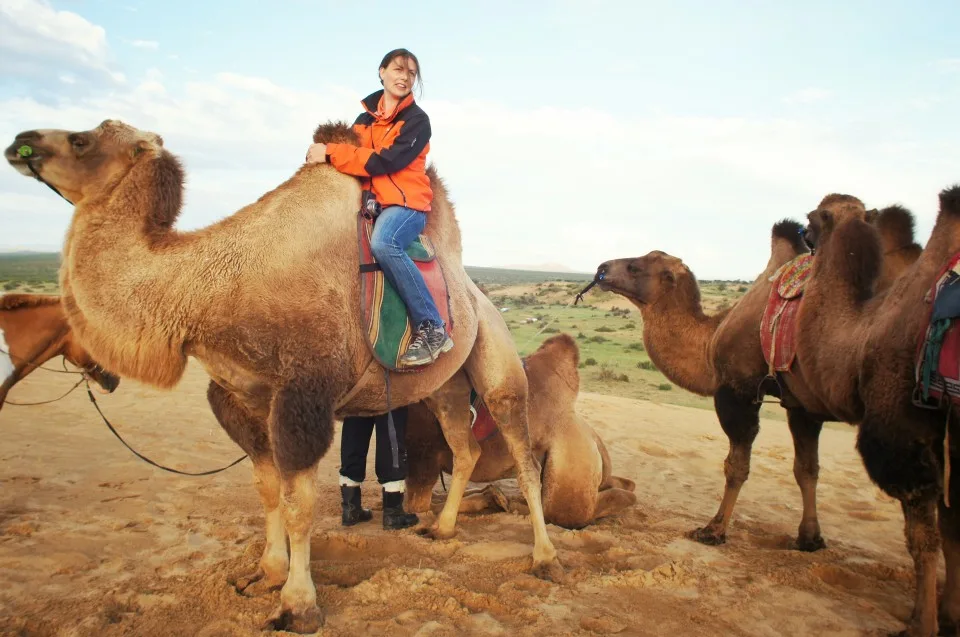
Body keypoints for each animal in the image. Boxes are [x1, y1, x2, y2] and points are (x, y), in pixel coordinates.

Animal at [4, 119, 560, 632]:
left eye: (81, 140)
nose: (19, 141)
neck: (211, 291)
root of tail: (477, 294)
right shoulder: (241, 397)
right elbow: (267, 487)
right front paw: (267, 572)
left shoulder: (302, 397)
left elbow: (299, 503)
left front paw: (299, 604)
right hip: (444, 385)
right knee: (464, 447)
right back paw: (442, 530)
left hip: (495, 356)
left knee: (521, 450)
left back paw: (546, 558)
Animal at [404, 333, 638, 529]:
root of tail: (593, 439)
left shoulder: (423, 456)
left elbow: (419, 506)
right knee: (624, 486)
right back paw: (497, 498)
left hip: (571, 471)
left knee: (568, 513)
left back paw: (499, 500)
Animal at [581, 202, 922, 553]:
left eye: (635, 267)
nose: (602, 268)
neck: (712, 337)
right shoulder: (801, 405)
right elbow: (806, 469)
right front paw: (809, 537)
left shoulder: (737, 391)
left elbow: (736, 466)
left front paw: (714, 529)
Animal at [791, 185, 960, 636]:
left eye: (812, 220)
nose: (803, 237)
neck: (861, 333)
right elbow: (951, 532)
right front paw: (948, 615)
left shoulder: (904, 437)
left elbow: (923, 539)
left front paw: (922, 624)